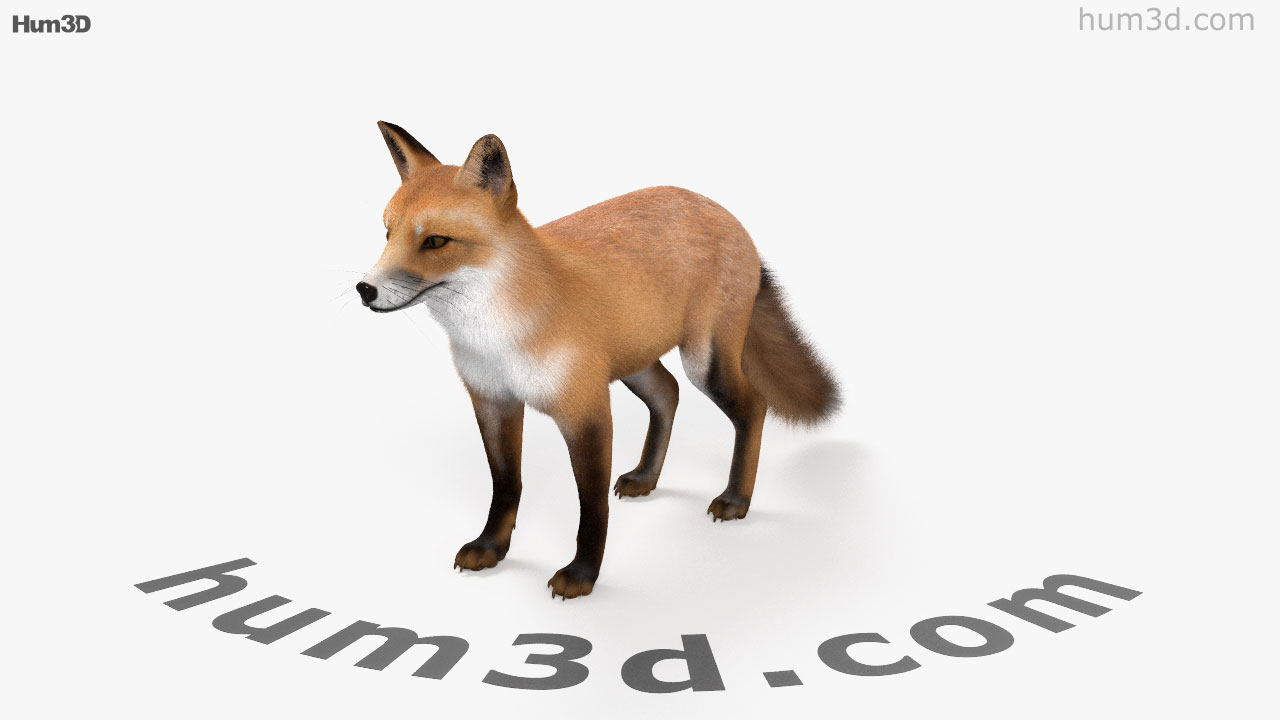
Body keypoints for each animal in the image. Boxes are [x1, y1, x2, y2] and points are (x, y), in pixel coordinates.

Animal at [357, 122, 841, 598]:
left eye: (436, 241)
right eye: (387, 234)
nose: (365, 289)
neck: (499, 337)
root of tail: (718, 208)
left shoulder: (586, 410)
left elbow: (591, 507)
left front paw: (582, 574)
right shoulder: (493, 402)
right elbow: (506, 485)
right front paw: (492, 547)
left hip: (706, 362)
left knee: (753, 406)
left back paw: (737, 498)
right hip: (636, 363)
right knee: (668, 394)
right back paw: (647, 476)